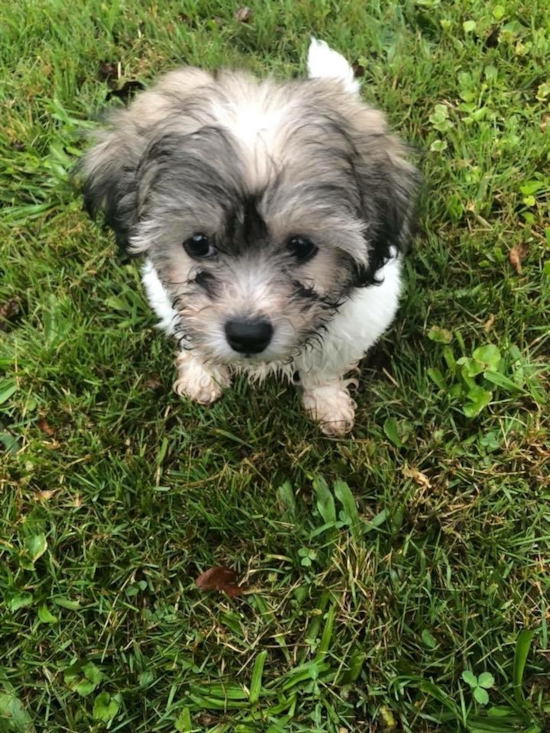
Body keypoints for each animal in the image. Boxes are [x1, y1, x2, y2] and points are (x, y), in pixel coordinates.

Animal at [81, 38, 418, 434]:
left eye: (302, 246)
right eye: (197, 244)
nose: (247, 335)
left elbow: (325, 366)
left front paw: (328, 402)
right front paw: (202, 374)